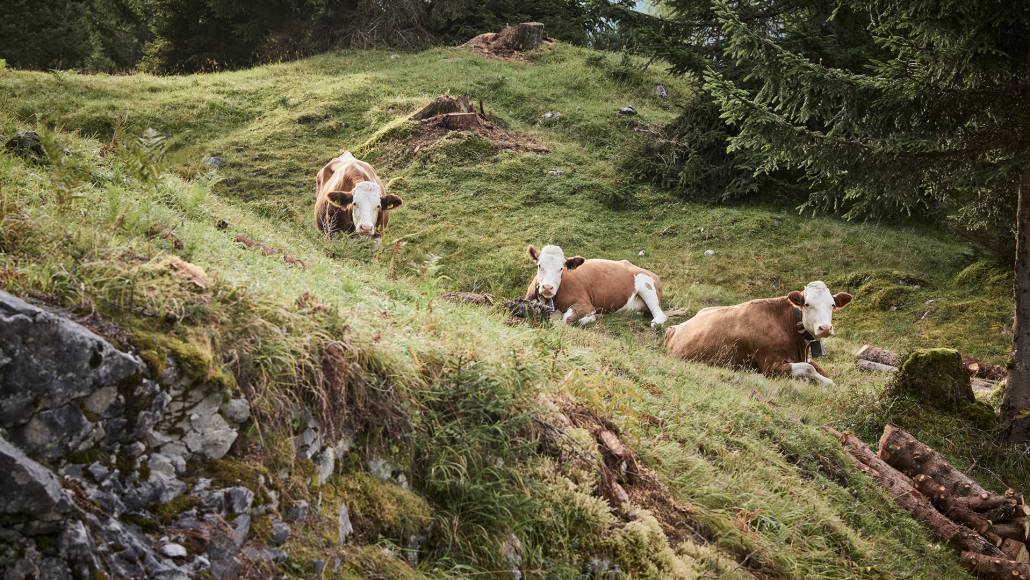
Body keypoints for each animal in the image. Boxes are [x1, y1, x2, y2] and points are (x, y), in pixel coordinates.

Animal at [525, 244, 668, 327]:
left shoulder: (586, 304)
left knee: (660, 315)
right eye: (539, 265)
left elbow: (566, 319)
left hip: (646, 285)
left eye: (561, 268)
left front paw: (588, 318)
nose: (547, 287)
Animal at [664, 281, 853, 386]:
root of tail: (674, 327)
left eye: (832, 305)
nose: (825, 328)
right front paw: (829, 384)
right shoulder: (771, 366)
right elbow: (810, 368)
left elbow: (817, 367)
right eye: (807, 304)